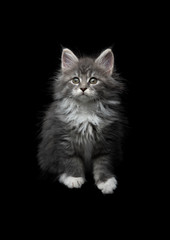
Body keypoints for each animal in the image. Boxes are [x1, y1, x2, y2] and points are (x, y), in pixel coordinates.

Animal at [37, 47, 125, 194]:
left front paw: (106, 182)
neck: (86, 111)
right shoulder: (65, 138)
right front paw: (74, 178)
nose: (83, 88)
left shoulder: (106, 139)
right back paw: (64, 176)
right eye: (75, 80)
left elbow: (103, 161)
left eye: (93, 80)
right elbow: (71, 159)